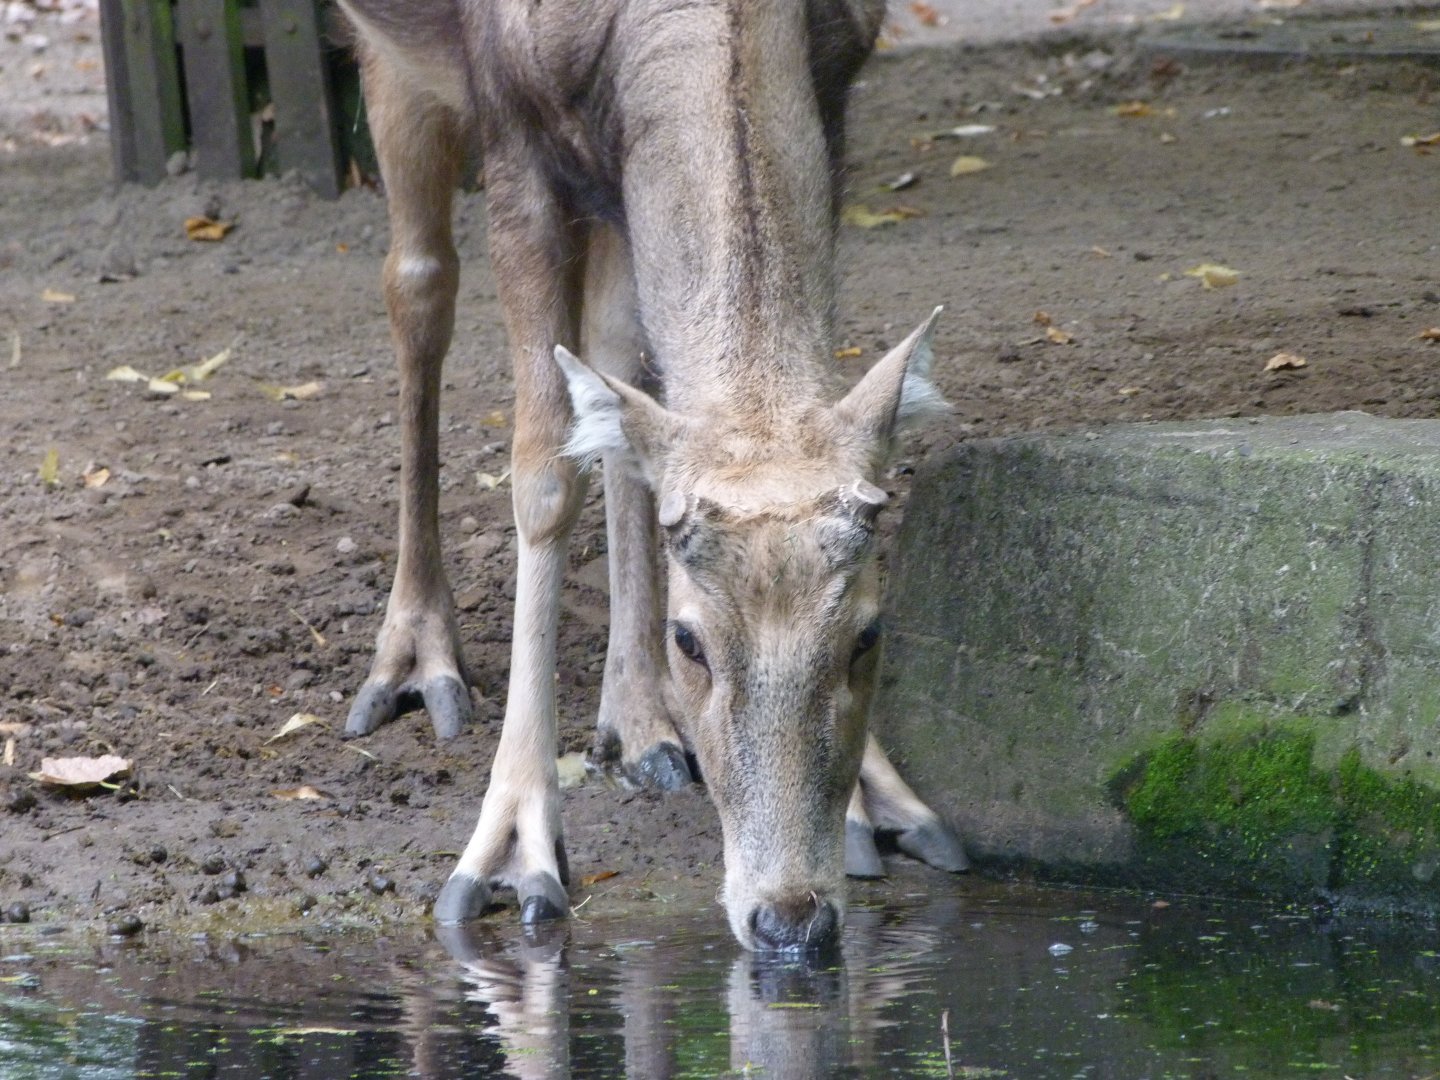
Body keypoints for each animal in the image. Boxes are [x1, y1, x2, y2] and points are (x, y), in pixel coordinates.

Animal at [336, 0, 968, 952]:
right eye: (692, 640)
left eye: (869, 632)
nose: (790, 918)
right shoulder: (515, 138)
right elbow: (541, 475)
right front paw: (511, 853)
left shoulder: (838, 82)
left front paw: (875, 800)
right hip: (398, 72)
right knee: (417, 286)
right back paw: (415, 663)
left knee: (612, 351)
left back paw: (637, 724)